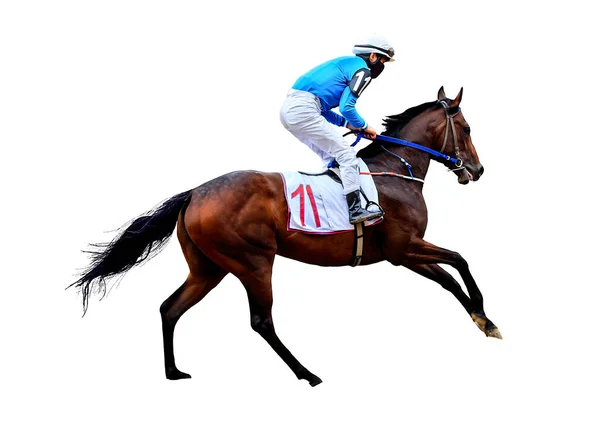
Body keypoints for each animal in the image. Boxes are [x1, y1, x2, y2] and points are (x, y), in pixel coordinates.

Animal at [70, 85, 502, 386]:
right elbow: (460, 259)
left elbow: (449, 280)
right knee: (261, 321)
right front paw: (486, 314)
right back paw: (307, 373)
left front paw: (483, 321)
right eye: (466, 128)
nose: (477, 170)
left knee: (170, 308)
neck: (395, 173)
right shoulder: (405, 248)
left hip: (208, 267)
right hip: (253, 262)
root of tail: (195, 193)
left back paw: (174, 371)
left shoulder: (403, 255)